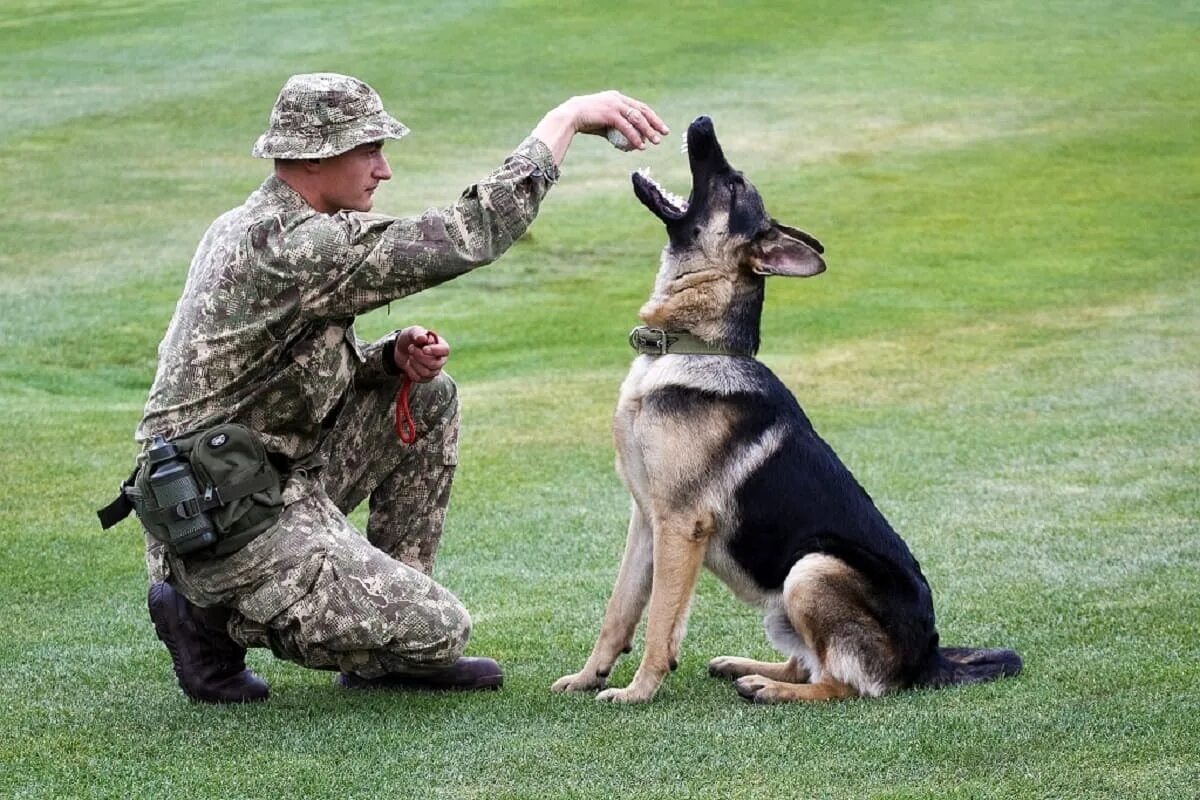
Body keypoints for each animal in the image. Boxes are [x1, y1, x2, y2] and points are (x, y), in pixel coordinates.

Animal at [552, 115, 1022, 705]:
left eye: (733, 185)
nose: (702, 122)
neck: (694, 346)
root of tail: (929, 658)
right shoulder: (646, 520)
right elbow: (619, 610)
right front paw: (588, 676)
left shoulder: (680, 525)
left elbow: (659, 620)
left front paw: (639, 691)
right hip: (786, 597)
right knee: (808, 663)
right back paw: (745, 667)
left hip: (812, 567)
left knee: (845, 684)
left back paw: (770, 689)